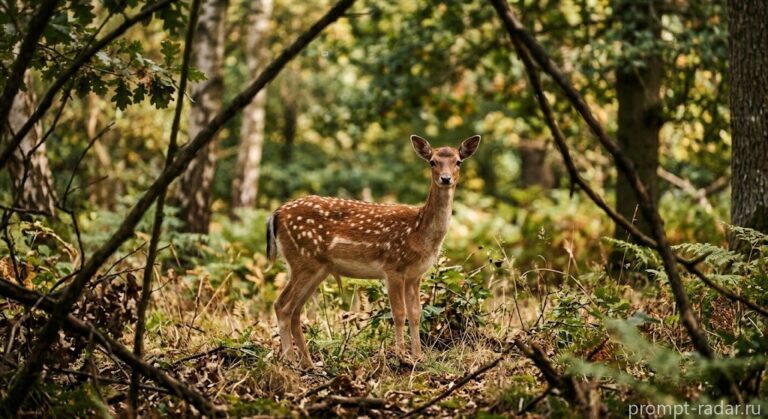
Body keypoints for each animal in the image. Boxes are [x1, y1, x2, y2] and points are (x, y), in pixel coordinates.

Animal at [266, 134, 481, 368]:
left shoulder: (415, 274)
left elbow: (416, 314)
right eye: (432, 161)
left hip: (316, 268)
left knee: (294, 309)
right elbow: (399, 313)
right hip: (303, 260)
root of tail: (276, 213)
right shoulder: (393, 266)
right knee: (283, 306)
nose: (445, 178)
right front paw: (401, 356)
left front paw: (419, 357)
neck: (419, 232)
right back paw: (290, 360)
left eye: (458, 161)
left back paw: (308, 364)